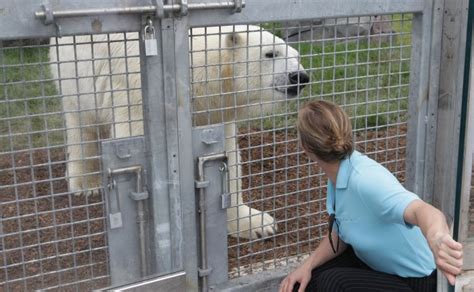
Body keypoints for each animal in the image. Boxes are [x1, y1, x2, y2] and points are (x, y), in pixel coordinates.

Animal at [50, 25, 310, 240]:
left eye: (296, 56)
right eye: (270, 54)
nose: (299, 77)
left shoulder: (215, 111)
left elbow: (225, 156)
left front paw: (256, 223)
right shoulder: (138, 95)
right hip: (76, 72)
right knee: (82, 125)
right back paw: (87, 182)